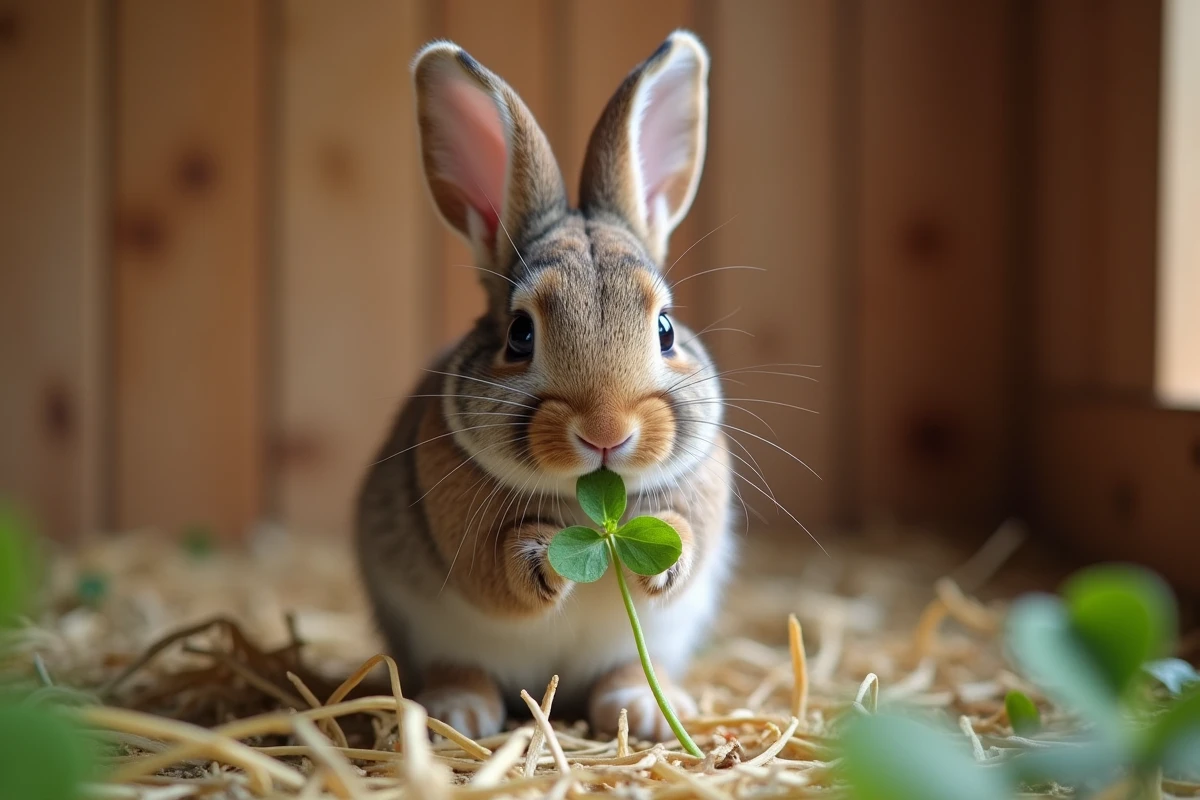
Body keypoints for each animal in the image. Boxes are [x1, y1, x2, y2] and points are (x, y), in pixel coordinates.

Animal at [355, 29, 735, 744]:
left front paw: (664, 564)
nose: (607, 432)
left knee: (624, 672)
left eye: (666, 329)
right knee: (462, 668)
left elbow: (686, 537)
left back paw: (644, 710)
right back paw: (456, 711)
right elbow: (495, 569)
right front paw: (542, 561)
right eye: (519, 335)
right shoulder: (460, 534)